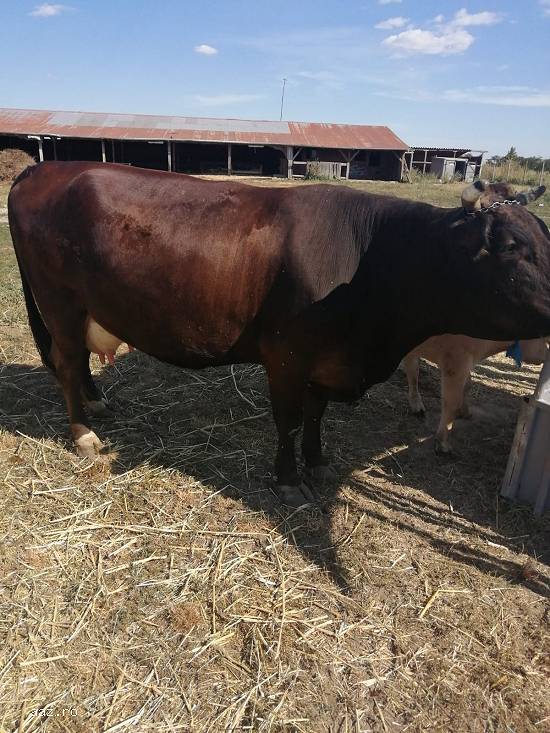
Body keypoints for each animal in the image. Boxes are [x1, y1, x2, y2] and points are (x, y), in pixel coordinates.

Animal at [402, 335, 548, 453]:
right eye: (545, 339)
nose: (546, 356)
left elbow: (467, 386)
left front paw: (465, 412)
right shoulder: (456, 363)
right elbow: (451, 402)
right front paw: (442, 444)